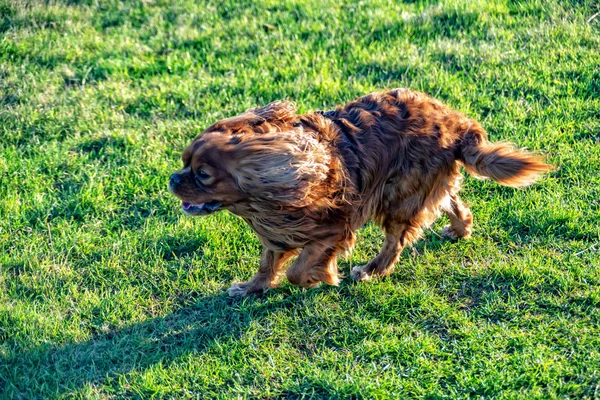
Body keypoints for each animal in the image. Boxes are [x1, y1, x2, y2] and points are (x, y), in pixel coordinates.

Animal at [166, 90, 552, 296]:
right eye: (184, 162)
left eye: (203, 175)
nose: (172, 179)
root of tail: (457, 122)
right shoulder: (276, 233)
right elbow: (268, 263)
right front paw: (251, 287)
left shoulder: (333, 229)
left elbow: (297, 269)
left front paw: (320, 277)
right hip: (421, 187)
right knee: (451, 202)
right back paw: (459, 230)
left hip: (396, 197)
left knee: (396, 242)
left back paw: (371, 270)